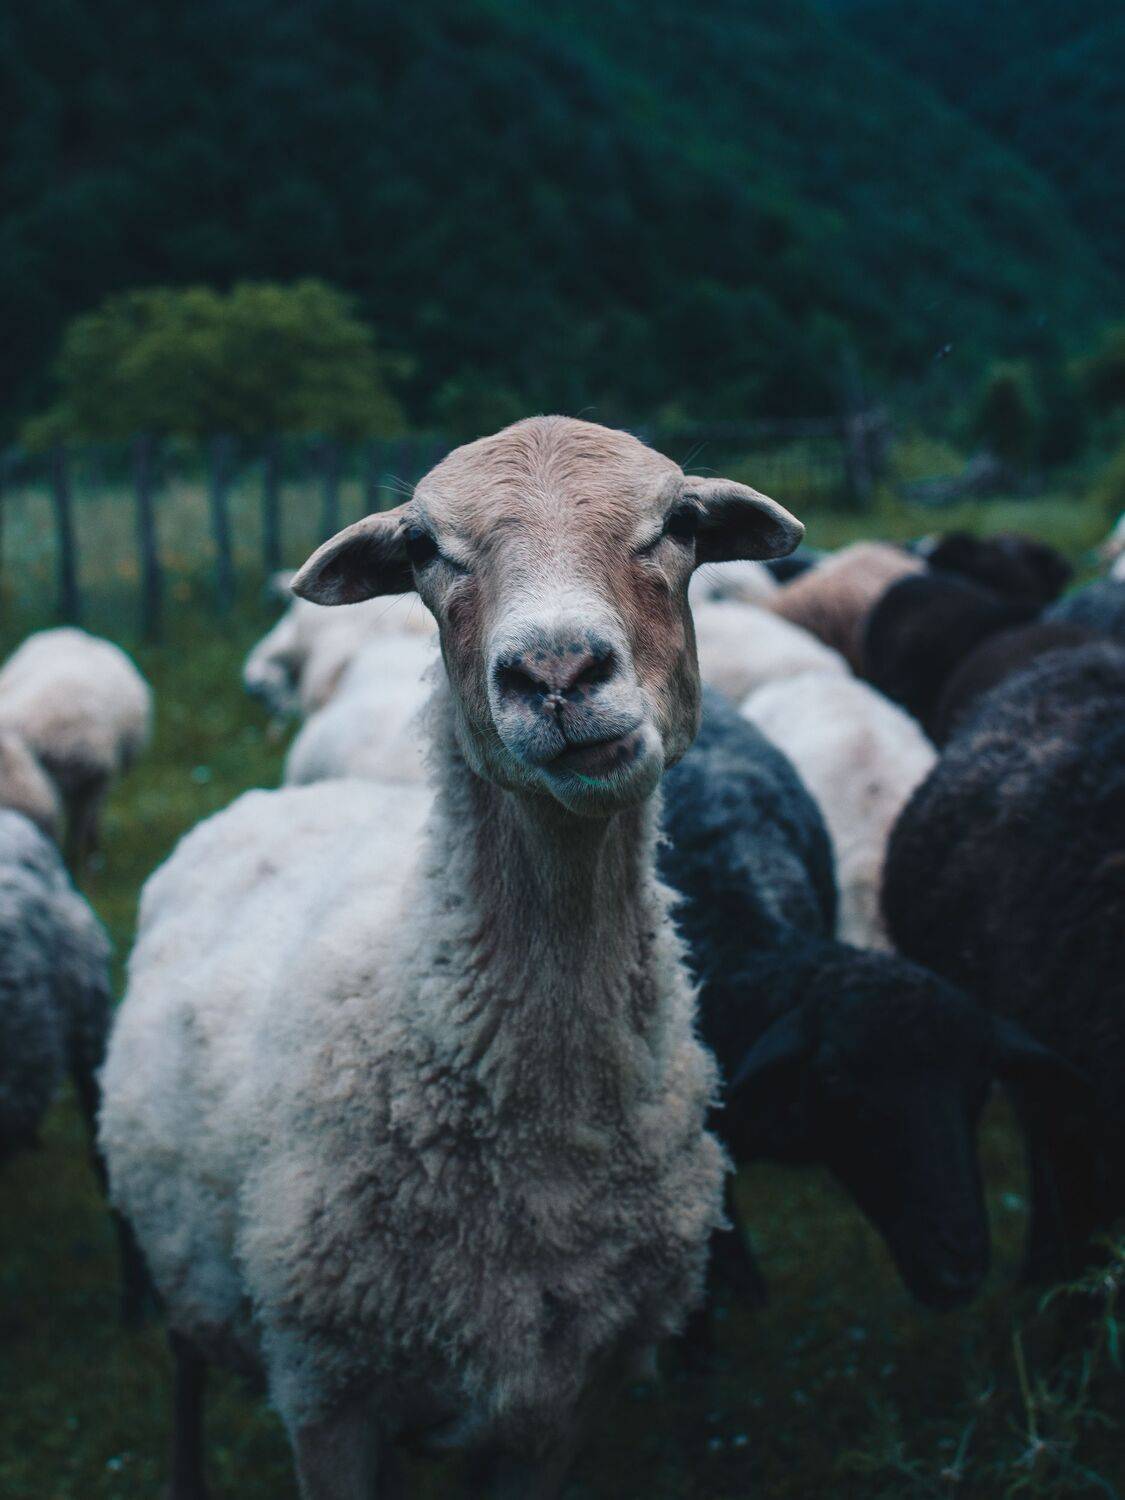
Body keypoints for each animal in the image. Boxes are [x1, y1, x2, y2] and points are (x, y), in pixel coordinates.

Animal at [0, 628, 152, 863]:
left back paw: (93, 847)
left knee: (95, 813)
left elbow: (76, 833)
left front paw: (74, 861)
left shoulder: (90, 783)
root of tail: (78, 633)